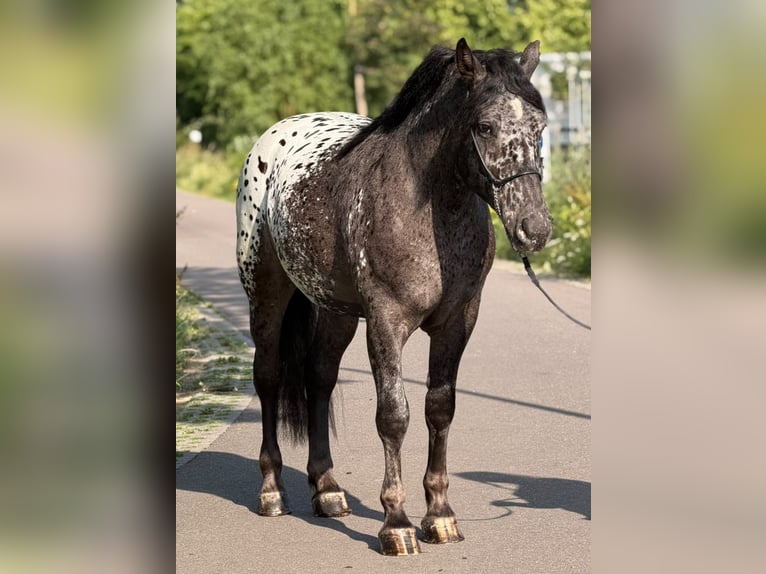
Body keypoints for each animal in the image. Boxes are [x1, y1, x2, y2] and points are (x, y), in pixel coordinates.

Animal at [235, 38, 551, 556]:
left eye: (539, 128)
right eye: (484, 126)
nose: (535, 229)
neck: (427, 209)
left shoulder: (458, 322)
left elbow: (439, 408)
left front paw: (440, 516)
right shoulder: (386, 320)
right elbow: (394, 415)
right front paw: (397, 524)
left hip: (337, 311)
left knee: (320, 378)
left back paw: (328, 491)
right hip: (266, 295)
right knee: (268, 377)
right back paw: (272, 491)